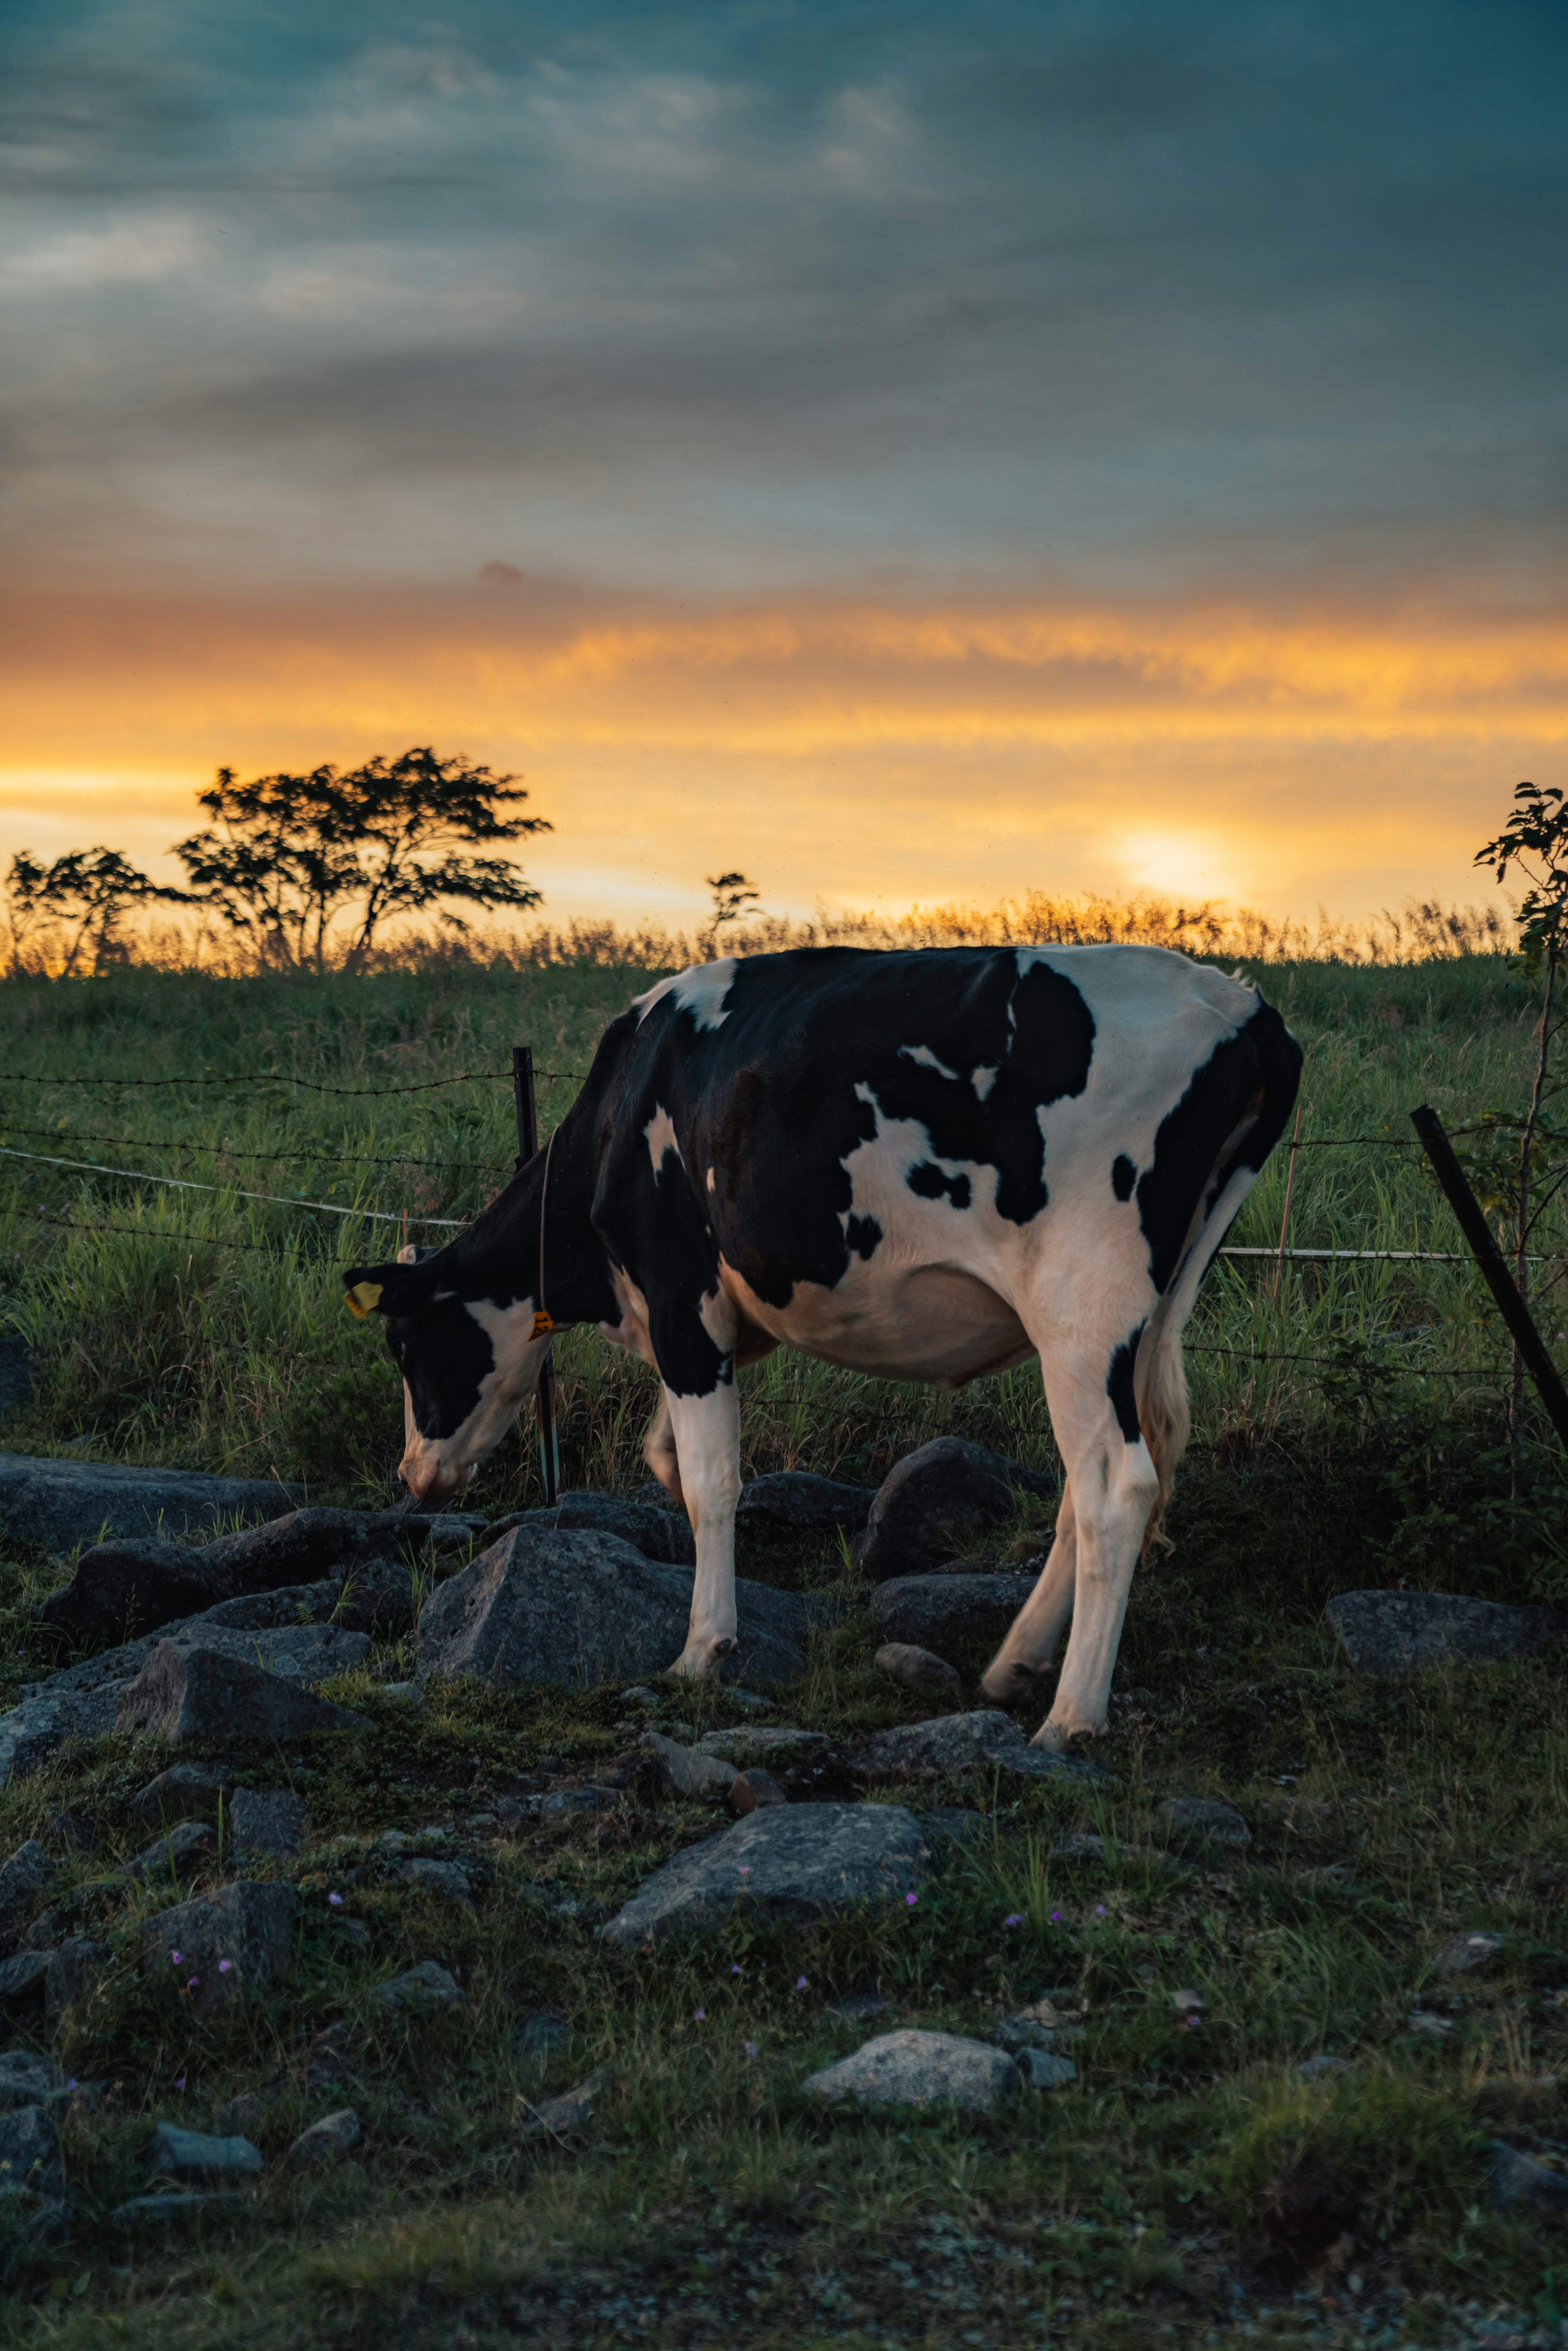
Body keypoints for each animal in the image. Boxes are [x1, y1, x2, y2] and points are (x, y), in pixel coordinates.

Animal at [343, 940, 1297, 1749]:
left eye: (404, 1348)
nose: (412, 1476)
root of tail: (1239, 1003)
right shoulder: (721, 1321)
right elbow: (669, 1459)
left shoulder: (678, 1296)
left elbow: (712, 1480)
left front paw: (704, 1647)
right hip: (1142, 1318)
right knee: (1088, 1485)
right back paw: (1016, 1661)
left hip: (1083, 1306)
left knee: (1115, 1487)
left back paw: (1070, 1715)